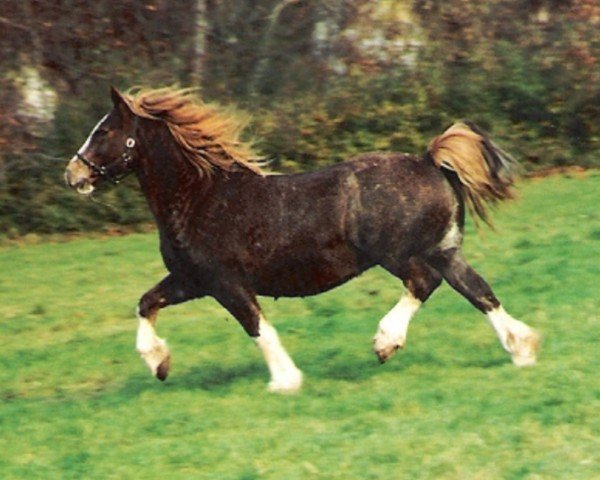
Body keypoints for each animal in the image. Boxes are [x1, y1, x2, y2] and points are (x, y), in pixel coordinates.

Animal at [64, 87, 540, 394]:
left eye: (103, 131)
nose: (73, 174)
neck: (200, 196)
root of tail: (429, 161)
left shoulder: (225, 283)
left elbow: (257, 326)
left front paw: (285, 382)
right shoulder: (190, 281)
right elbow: (146, 303)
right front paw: (159, 363)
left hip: (402, 254)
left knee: (425, 284)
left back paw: (385, 342)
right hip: (443, 251)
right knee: (479, 291)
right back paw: (522, 351)